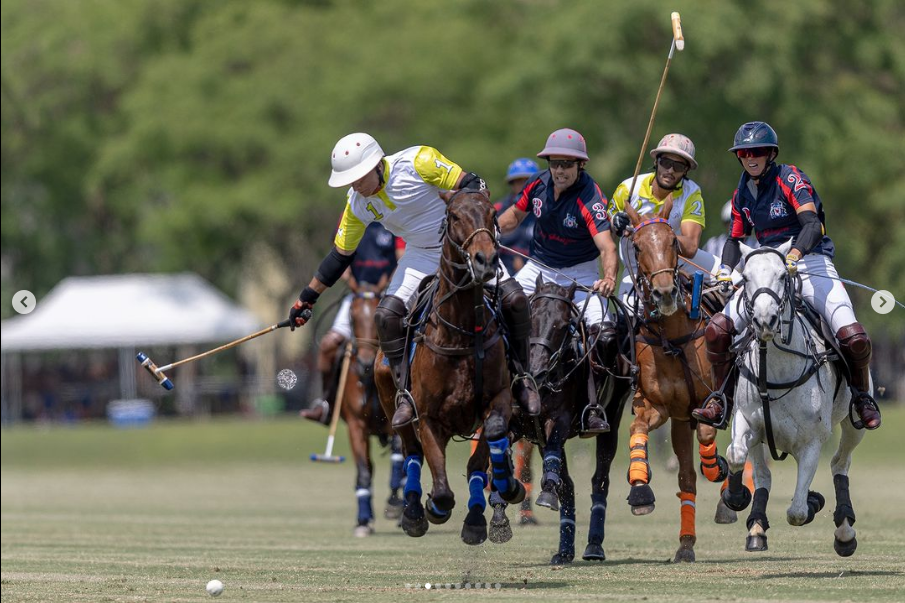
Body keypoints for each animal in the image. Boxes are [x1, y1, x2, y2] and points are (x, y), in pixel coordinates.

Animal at [372, 190, 528, 548]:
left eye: (492, 215)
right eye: (454, 216)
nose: (485, 261)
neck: (461, 332)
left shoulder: (497, 399)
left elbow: (487, 446)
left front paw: (489, 505)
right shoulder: (429, 417)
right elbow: (441, 487)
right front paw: (432, 507)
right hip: (390, 398)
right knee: (411, 449)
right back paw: (413, 512)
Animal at [616, 201, 732, 564]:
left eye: (673, 242)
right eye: (638, 246)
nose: (665, 293)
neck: (675, 339)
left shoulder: (711, 400)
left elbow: (709, 432)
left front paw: (717, 468)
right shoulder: (660, 407)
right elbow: (637, 428)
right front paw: (640, 489)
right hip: (680, 422)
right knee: (687, 477)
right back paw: (686, 541)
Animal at [720, 241, 860, 556]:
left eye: (784, 275)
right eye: (744, 277)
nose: (764, 321)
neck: (776, 368)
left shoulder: (812, 442)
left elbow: (796, 512)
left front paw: (813, 501)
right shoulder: (747, 421)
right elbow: (736, 455)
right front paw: (736, 496)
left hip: (853, 422)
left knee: (840, 463)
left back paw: (844, 531)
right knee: (762, 476)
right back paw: (756, 528)